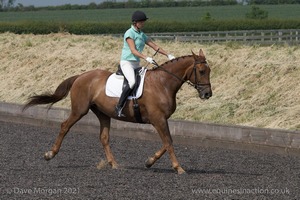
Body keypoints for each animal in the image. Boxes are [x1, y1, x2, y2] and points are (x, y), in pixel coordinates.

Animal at [22, 49, 211, 174]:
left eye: (209, 71)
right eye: (202, 71)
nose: (207, 94)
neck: (163, 83)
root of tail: (81, 76)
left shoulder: (161, 120)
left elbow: (167, 142)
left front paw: (149, 162)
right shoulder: (158, 119)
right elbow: (169, 142)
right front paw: (179, 168)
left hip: (103, 114)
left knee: (104, 137)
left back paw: (114, 164)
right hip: (79, 110)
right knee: (64, 126)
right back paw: (50, 154)